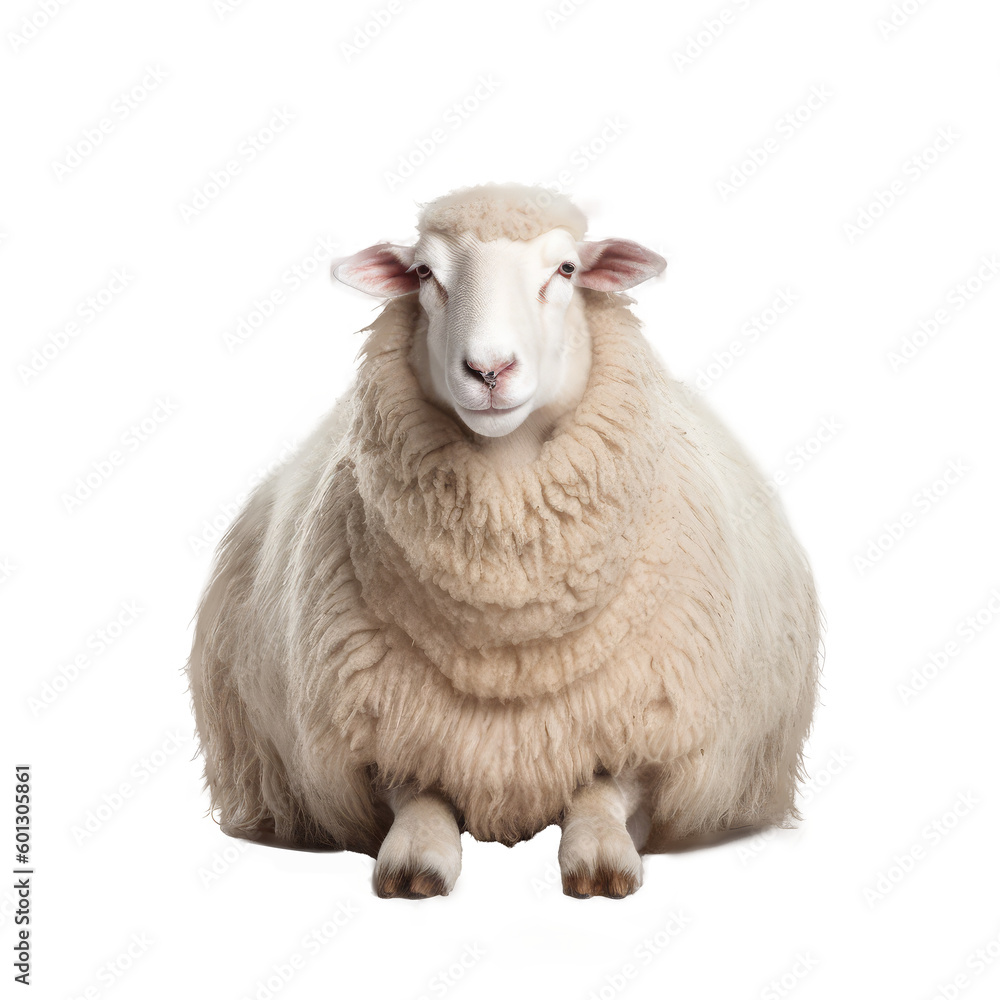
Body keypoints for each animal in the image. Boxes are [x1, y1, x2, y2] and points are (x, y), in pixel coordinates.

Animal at [187, 182, 820, 899]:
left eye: (567, 270)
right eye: (424, 273)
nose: (489, 369)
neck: (509, 625)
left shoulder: (655, 732)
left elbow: (603, 791)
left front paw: (600, 859)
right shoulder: (378, 736)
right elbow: (420, 797)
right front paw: (414, 862)